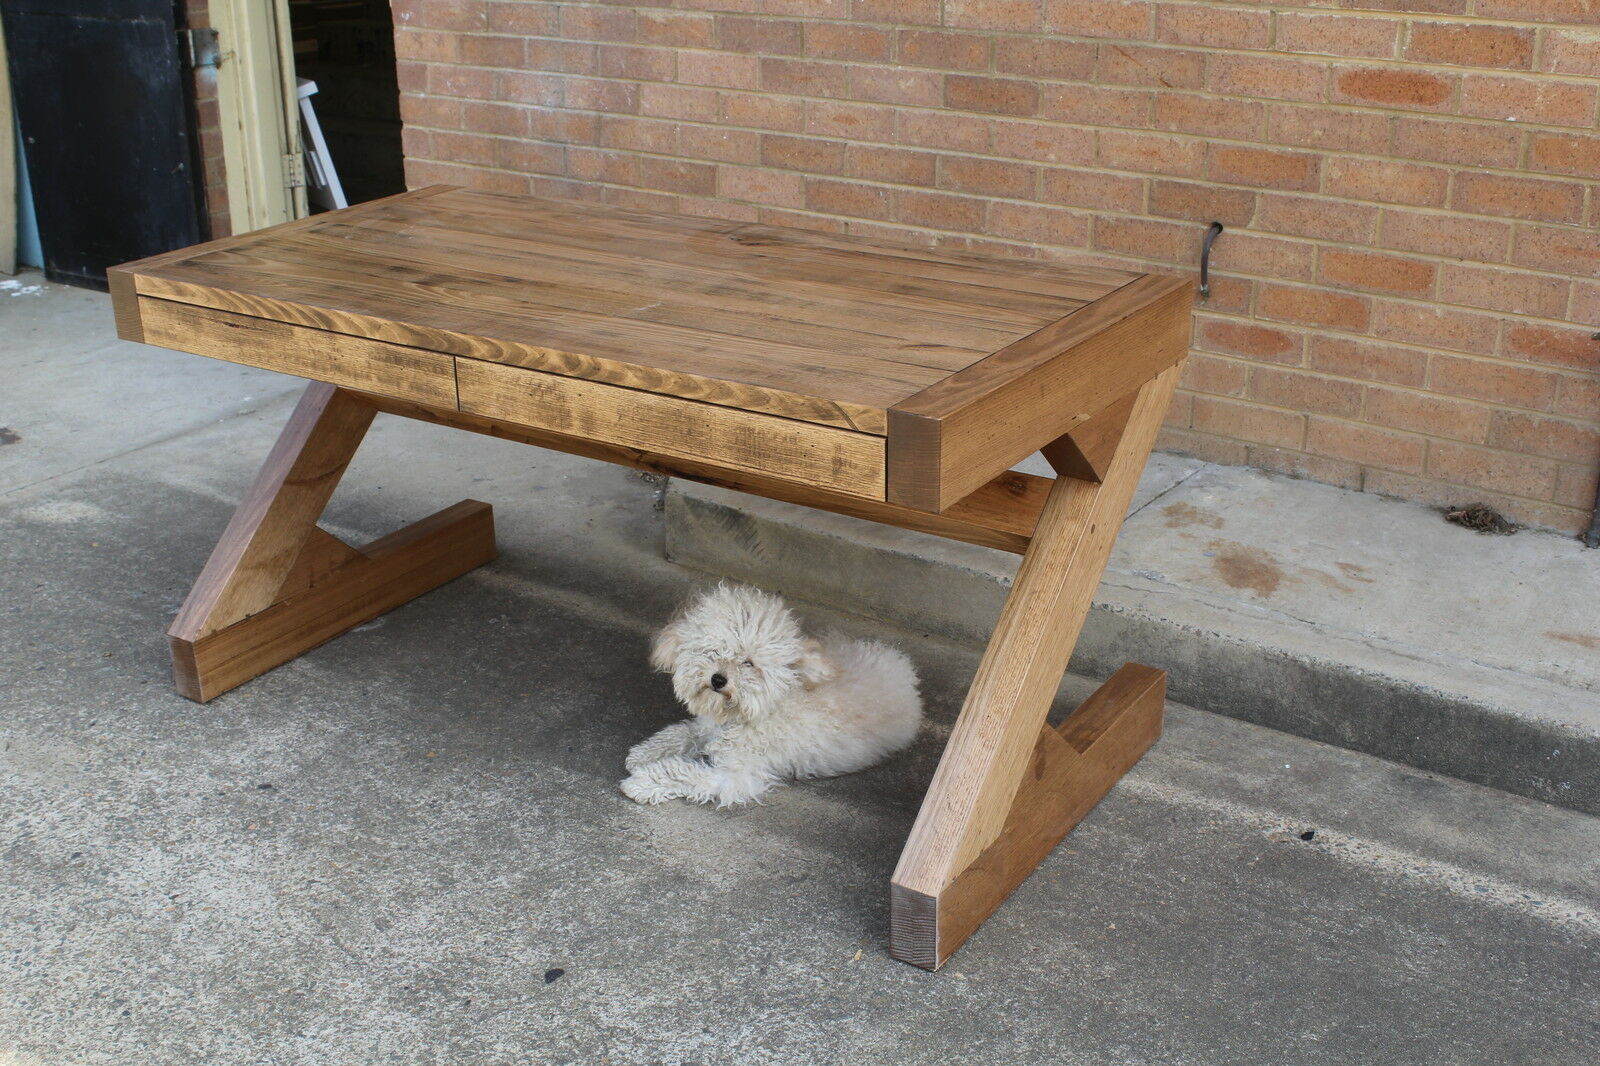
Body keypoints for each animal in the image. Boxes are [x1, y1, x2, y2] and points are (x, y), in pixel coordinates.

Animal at [624, 582, 928, 806]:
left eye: (748, 663)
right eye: (712, 650)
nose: (718, 679)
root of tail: (903, 666)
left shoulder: (735, 775)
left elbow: (685, 772)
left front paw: (642, 781)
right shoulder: (705, 729)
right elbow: (679, 734)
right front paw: (645, 753)